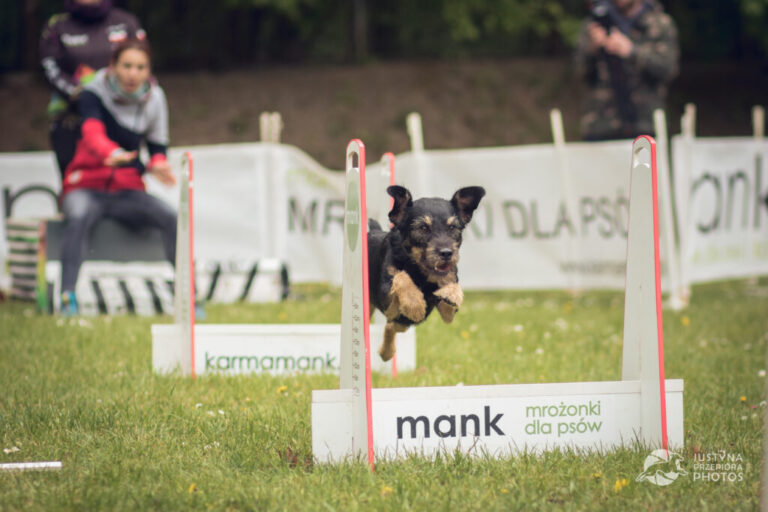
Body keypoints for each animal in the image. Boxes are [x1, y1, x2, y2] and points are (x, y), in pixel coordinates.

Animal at [368, 184, 486, 360]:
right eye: (423, 227)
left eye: (452, 227)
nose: (446, 253)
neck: (421, 272)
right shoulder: (386, 300)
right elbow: (401, 276)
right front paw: (415, 304)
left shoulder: (448, 314)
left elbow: (453, 289)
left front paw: (452, 294)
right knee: (390, 323)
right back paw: (386, 351)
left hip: (402, 323)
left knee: (391, 326)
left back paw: (386, 352)